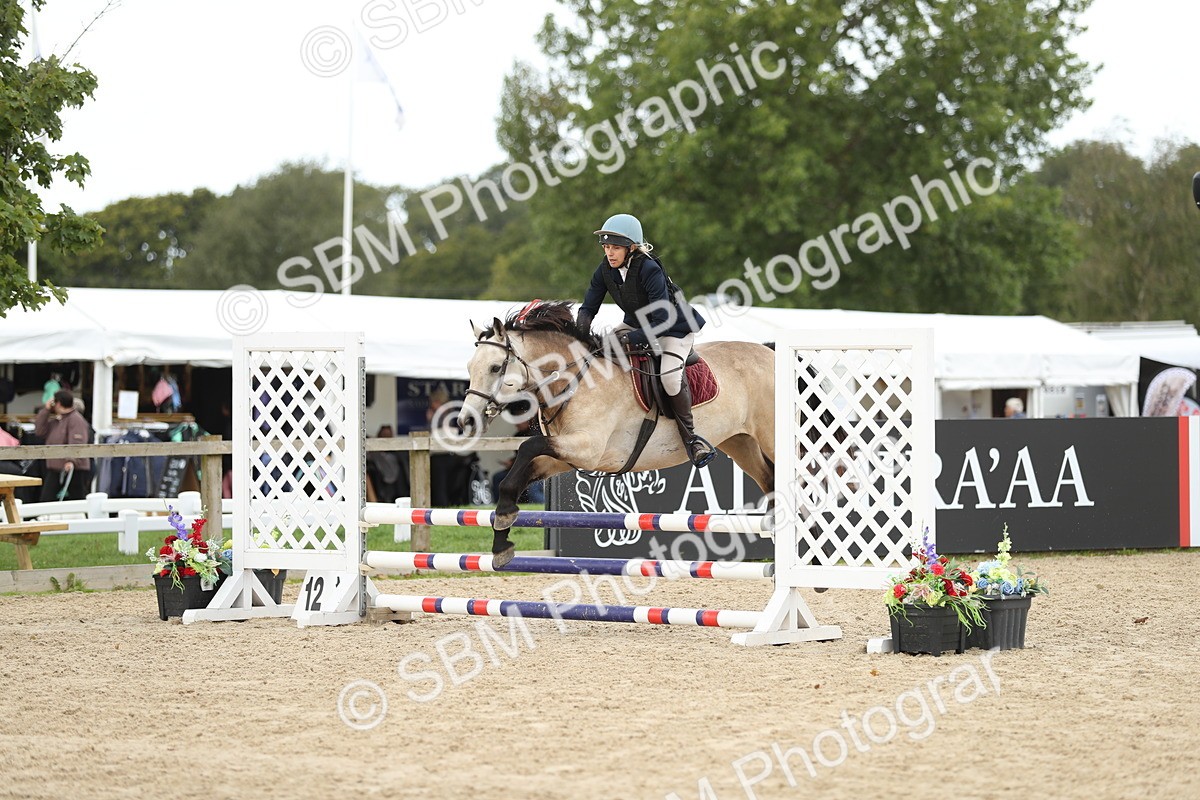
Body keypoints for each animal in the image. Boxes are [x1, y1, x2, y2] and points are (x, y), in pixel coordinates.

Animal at [459, 300, 776, 566]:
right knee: (770, 482)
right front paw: (502, 538)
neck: (574, 381)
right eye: (470, 367)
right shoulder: (566, 455)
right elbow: (513, 480)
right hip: (741, 444)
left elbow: (528, 446)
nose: (466, 421)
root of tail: (771, 353)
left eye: (495, 367)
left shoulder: (588, 448)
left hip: (772, 439)